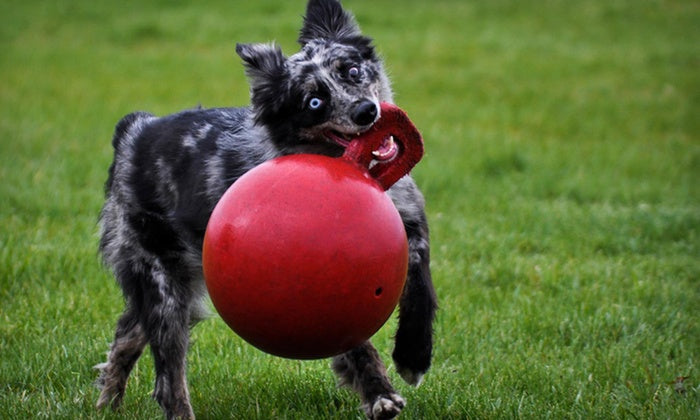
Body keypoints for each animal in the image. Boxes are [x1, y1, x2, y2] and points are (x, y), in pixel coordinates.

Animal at [95, 1, 434, 418]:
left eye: (352, 71)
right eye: (314, 102)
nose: (366, 111)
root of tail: (133, 131)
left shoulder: (411, 229)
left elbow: (421, 292)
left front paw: (414, 355)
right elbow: (352, 340)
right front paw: (378, 392)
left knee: (127, 333)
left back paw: (107, 402)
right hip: (165, 288)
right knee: (167, 379)